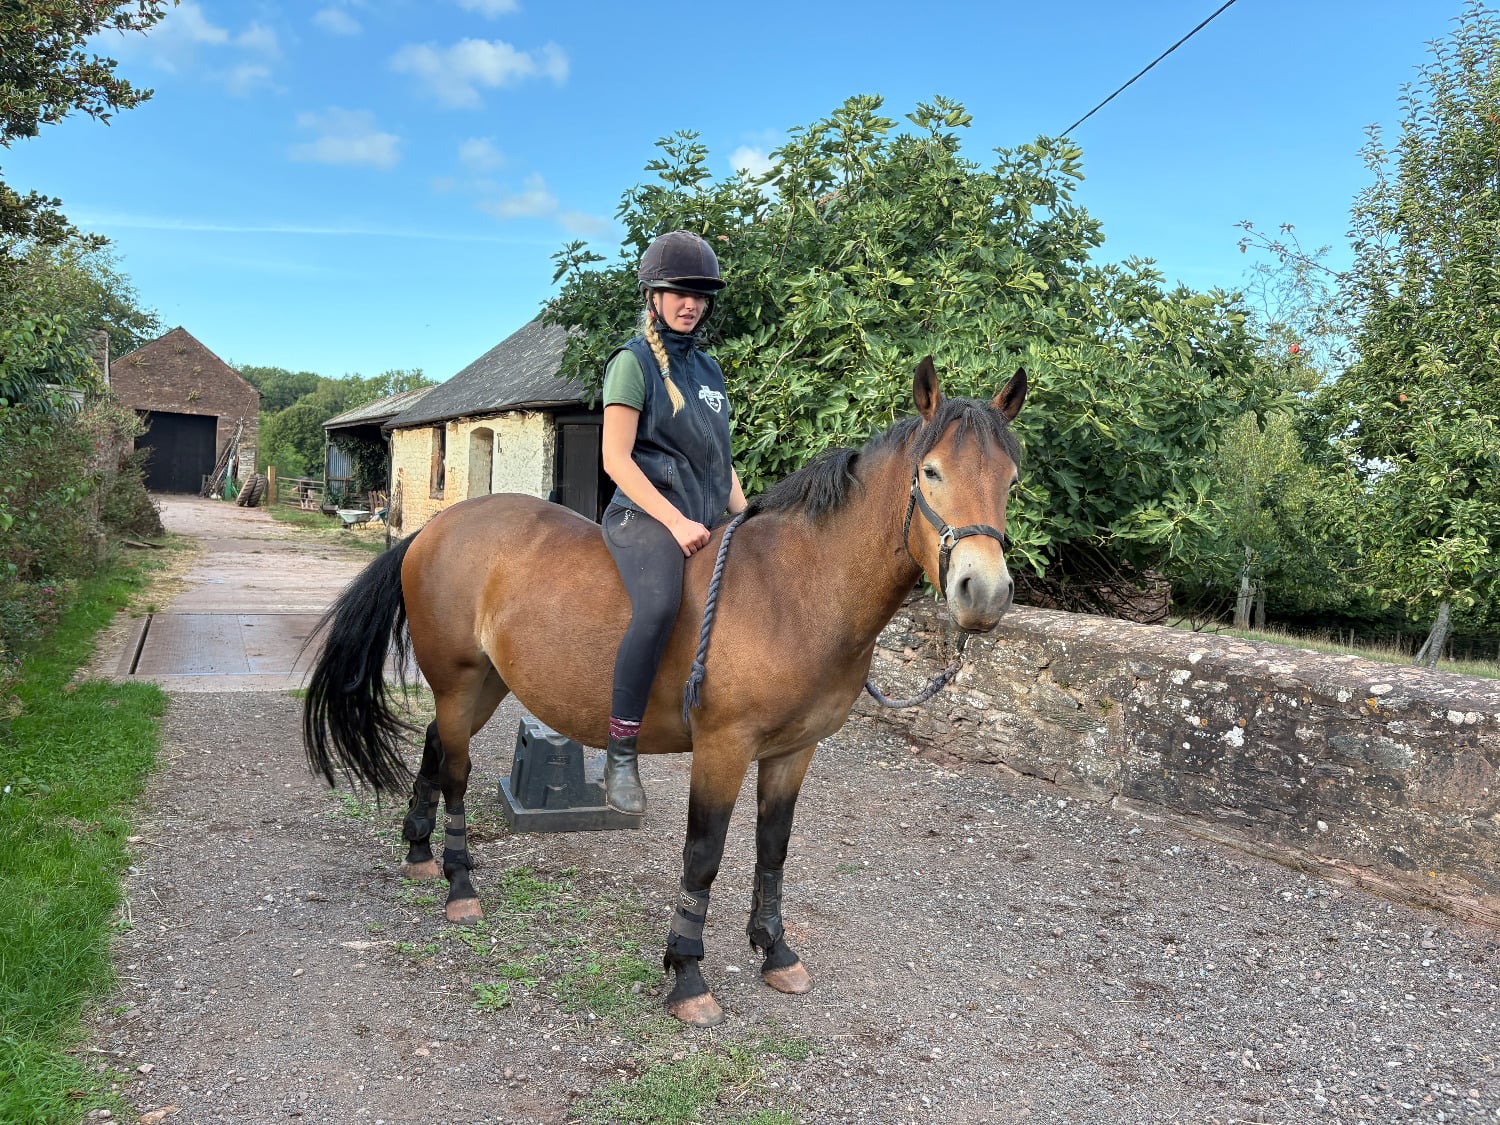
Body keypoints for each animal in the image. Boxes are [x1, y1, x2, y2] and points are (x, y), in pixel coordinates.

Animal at [302, 355, 1026, 1027]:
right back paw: (458, 882)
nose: (984, 592)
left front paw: (775, 950)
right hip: (457, 683)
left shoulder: (793, 752)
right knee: (455, 769)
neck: (794, 591)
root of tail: (433, 529)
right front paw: (687, 973)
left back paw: (419, 850)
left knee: (433, 745)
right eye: (930, 472)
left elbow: (773, 848)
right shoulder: (723, 748)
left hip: (484, 686)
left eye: (1010, 481)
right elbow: (704, 856)